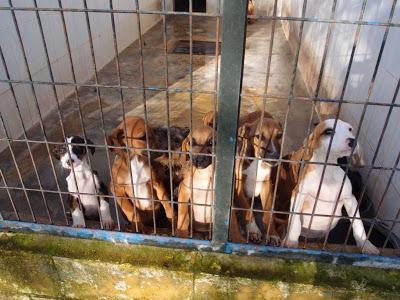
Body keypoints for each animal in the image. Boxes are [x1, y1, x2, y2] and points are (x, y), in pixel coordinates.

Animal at [230, 110, 282, 244]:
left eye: (279, 135)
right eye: (258, 137)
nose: (274, 157)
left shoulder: (266, 184)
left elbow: (268, 212)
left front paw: (272, 233)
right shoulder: (238, 186)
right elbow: (248, 209)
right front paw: (253, 230)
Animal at [282, 118, 380, 254]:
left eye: (350, 129)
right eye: (328, 131)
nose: (353, 141)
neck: (327, 172)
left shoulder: (350, 199)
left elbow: (358, 223)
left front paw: (366, 245)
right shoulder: (298, 194)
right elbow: (295, 220)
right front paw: (291, 241)